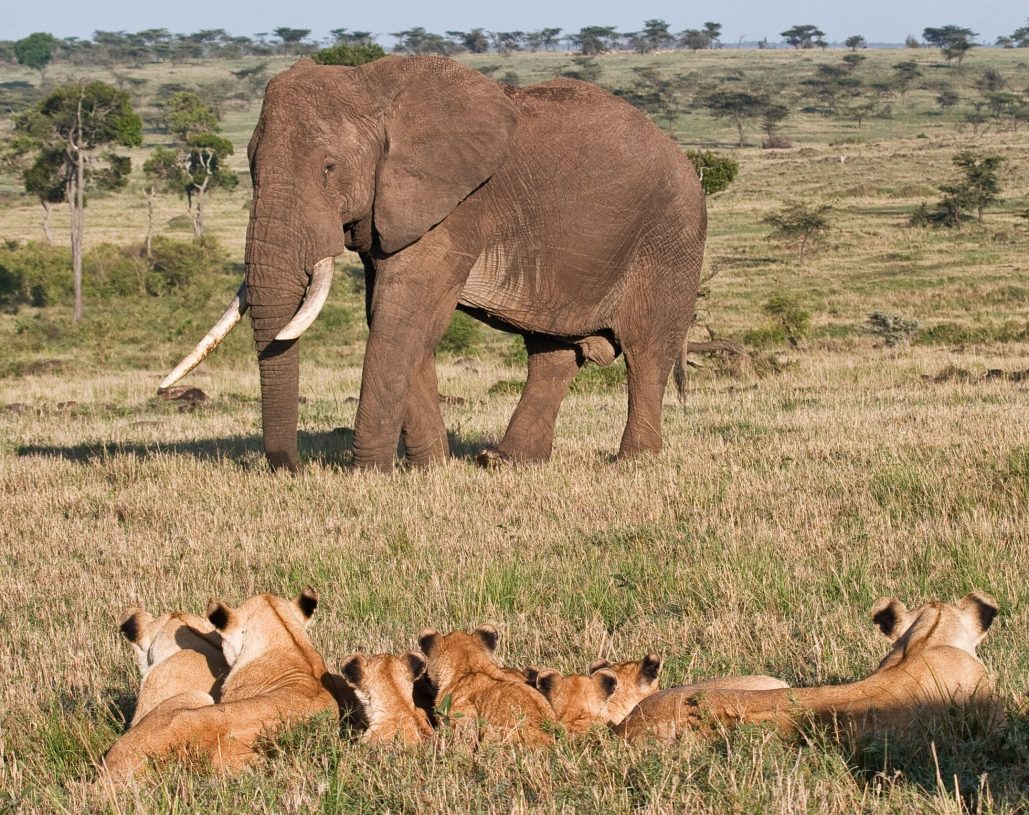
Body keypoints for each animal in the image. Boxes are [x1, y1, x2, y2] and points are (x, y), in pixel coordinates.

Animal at [160, 56, 707, 472]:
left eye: (329, 168)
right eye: (251, 168)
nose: (288, 469)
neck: (372, 88)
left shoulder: (457, 204)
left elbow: (403, 314)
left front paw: (370, 473)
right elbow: (393, 315)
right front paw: (430, 468)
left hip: (671, 235)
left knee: (646, 350)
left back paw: (631, 462)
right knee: (550, 354)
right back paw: (503, 462)